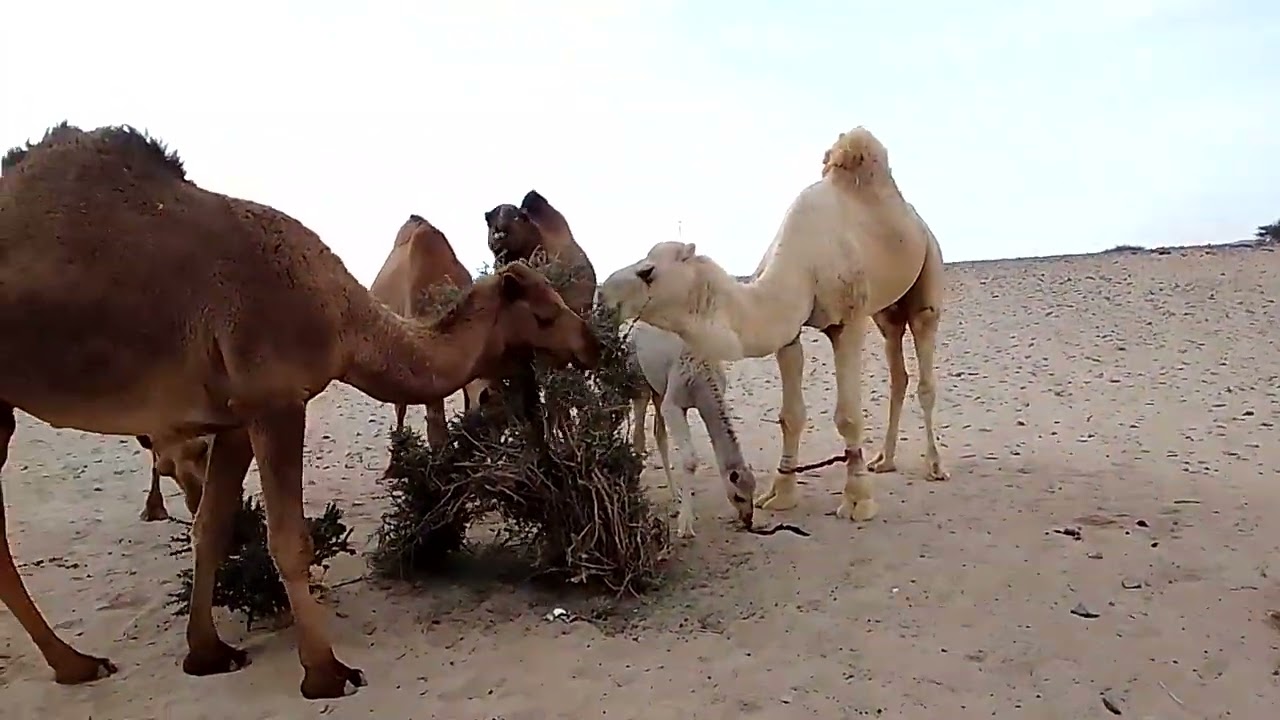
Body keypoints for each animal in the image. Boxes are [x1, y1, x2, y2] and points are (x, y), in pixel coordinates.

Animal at [626, 320, 756, 538]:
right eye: (739, 496)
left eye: (753, 492)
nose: (748, 520)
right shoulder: (674, 402)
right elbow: (690, 459)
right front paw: (685, 526)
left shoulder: (681, 402)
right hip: (639, 379)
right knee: (639, 433)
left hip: (658, 387)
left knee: (659, 433)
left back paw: (674, 493)